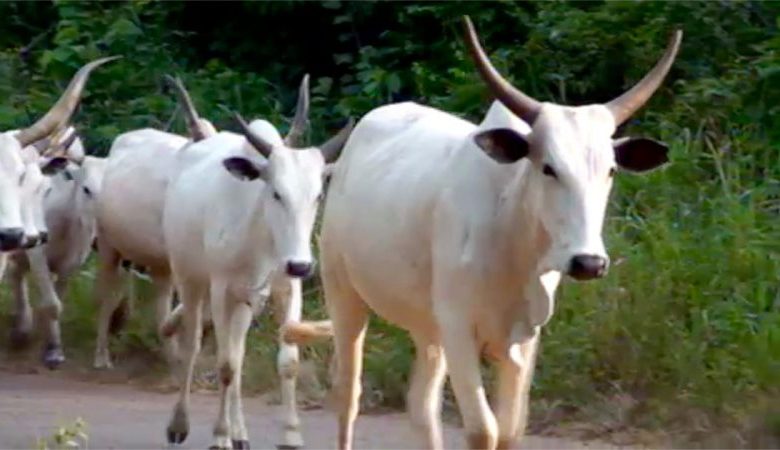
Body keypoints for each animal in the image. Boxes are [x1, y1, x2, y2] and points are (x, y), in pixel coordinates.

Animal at [160, 104, 353, 450]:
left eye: (318, 195)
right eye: (276, 193)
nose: (301, 265)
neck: (262, 232)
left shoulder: (286, 288)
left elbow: (286, 362)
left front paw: (290, 434)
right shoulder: (221, 289)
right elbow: (224, 365)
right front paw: (219, 436)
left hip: (244, 301)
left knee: (237, 351)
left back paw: (240, 434)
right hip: (190, 279)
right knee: (193, 345)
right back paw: (180, 424)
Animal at [311, 17, 682, 450]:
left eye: (610, 170)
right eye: (548, 167)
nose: (589, 262)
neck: (511, 244)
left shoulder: (523, 338)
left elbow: (507, 431)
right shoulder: (459, 328)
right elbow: (482, 429)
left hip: (427, 325)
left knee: (421, 407)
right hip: (343, 292)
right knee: (347, 394)